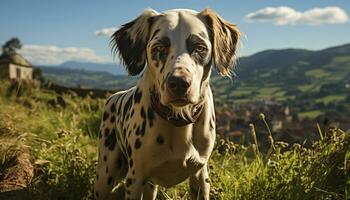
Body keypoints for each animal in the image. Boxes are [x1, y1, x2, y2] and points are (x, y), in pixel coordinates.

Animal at [94, 8, 239, 200]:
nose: (179, 83)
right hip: (106, 173)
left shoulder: (200, 176)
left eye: (200, 48)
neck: (178, 121)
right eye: (159, 48)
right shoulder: (135, 179)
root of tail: (115, 96)